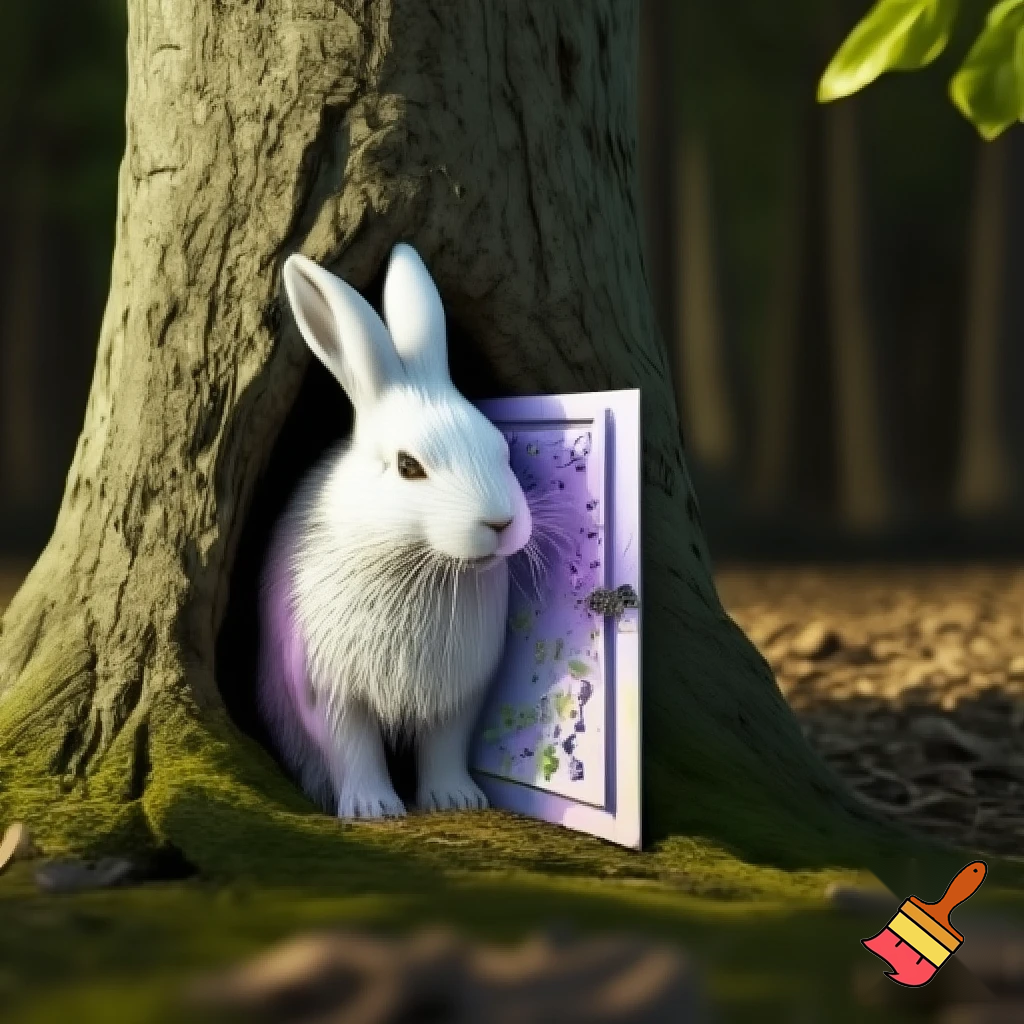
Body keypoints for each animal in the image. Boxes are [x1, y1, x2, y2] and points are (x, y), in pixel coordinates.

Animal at [258, 243, 532, 820]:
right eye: (408, 466)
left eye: (500, 444)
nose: (500, 523)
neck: (416, 560)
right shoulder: (331, 689)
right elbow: (353, 748)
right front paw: (372, 809)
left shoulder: (458, 696)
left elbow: (444, 747)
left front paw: (456, 800)